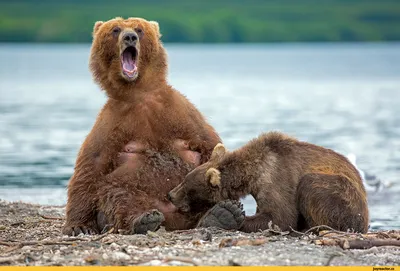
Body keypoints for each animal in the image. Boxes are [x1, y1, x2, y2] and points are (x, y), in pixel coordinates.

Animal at [61, 17, 222, 236]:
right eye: (115, 29)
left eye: (139, 29)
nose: (129, 37)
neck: (138, 93)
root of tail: (174, 223)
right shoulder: (111, 123)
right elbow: (90, 167)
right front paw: (78, 225)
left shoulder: (182, 113)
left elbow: (209, 144)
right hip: (133, 190)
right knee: (118, 194)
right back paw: (144, 219)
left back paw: (222, 213)